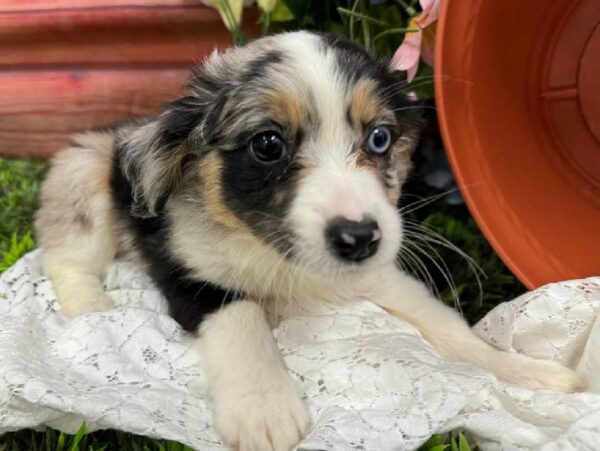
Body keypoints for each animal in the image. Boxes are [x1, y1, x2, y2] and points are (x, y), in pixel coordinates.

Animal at [35, 31, 584, 451]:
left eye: (380, 138)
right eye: (267, 144)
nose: (359, 239)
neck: (281, 260)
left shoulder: (382, 276)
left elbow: (450, 328)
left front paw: (532, 375)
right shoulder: (186, 271)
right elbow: (243, 318)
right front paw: (266, 411)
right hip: (85, 171)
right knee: (65, 258)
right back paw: (91, 309)